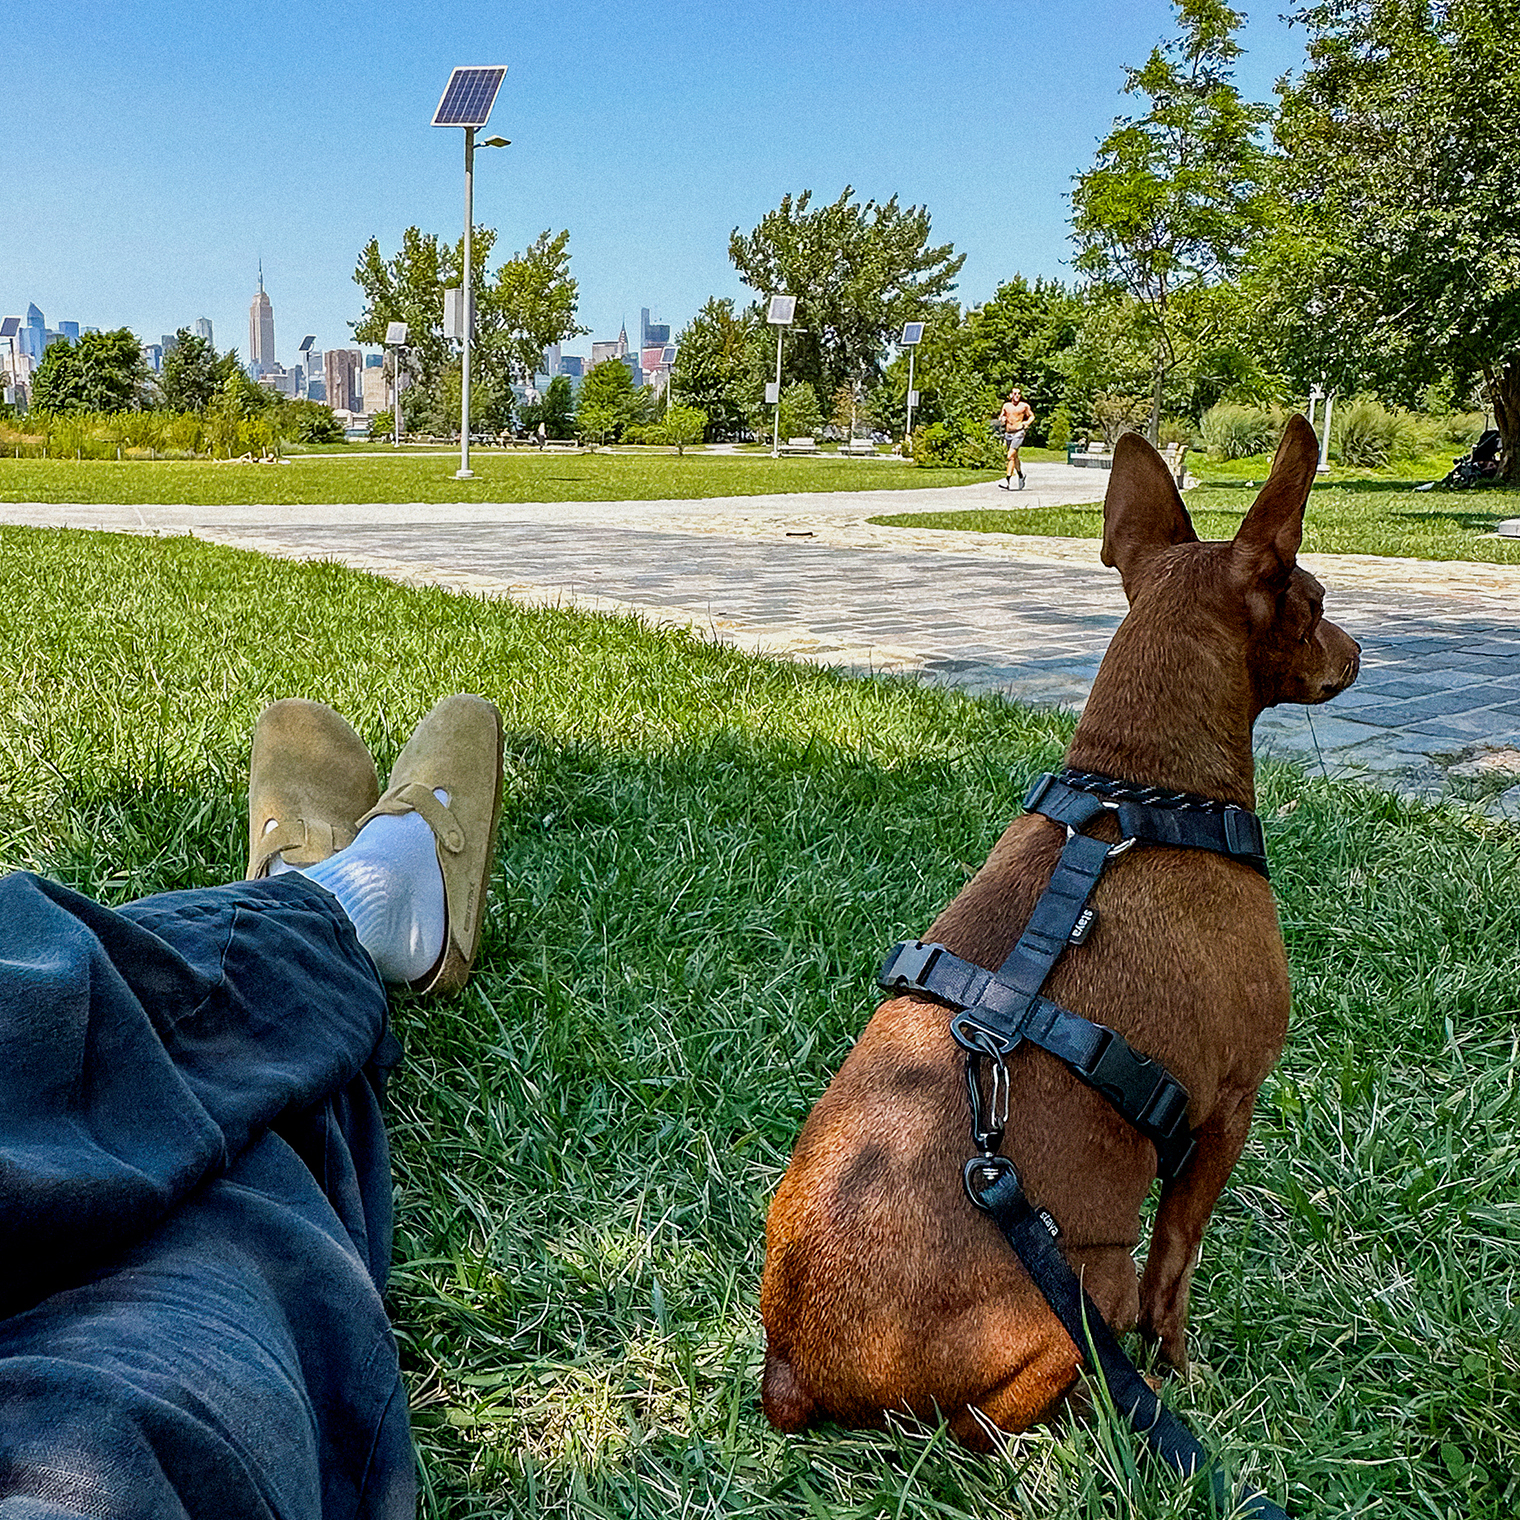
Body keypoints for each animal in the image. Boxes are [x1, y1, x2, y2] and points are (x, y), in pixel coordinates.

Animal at [766, 419, 1361, 1447]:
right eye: (1315, 601)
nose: (1361, 649)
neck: (1136, 791)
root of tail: (799, 1369)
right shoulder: (1228, 1110)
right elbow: (1177, 1266)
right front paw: (1182, 1369)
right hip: (1076, 1300)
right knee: (991, 1416)